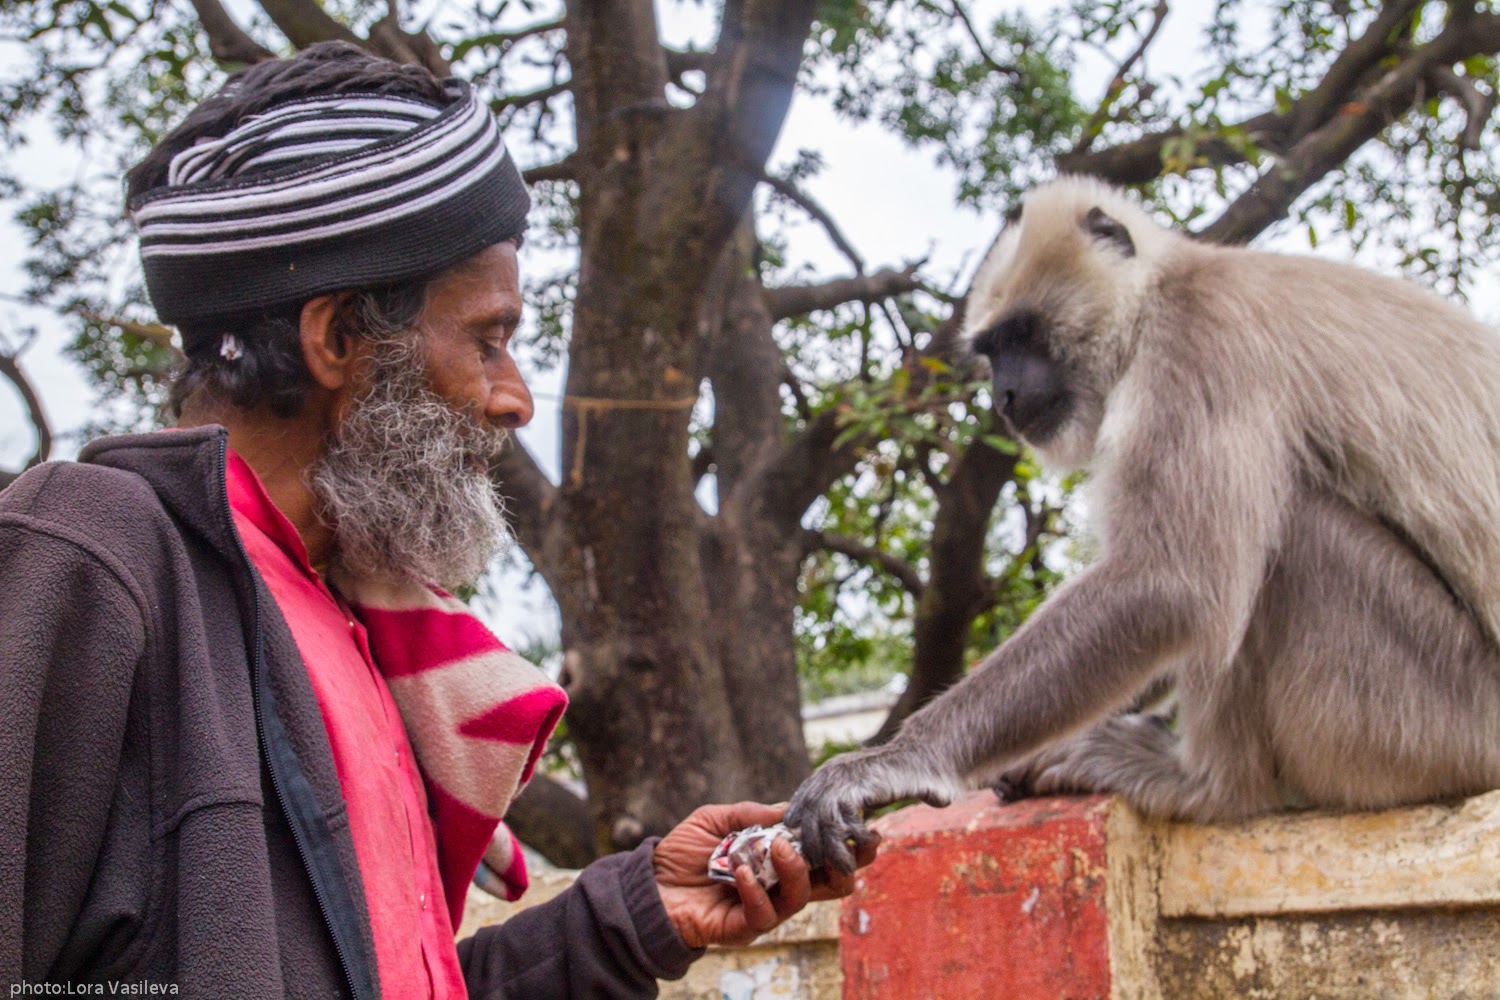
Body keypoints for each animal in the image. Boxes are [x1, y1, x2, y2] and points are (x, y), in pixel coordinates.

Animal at [786, 176, 1500, 869]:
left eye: (1021, 337)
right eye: (992, 351)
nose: (1004, 395)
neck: (1164, 290)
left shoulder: (1200, 338)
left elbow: (1169, 584)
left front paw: (896, 762)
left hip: (1430, 720)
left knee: (1283, 534)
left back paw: (1208, 786)